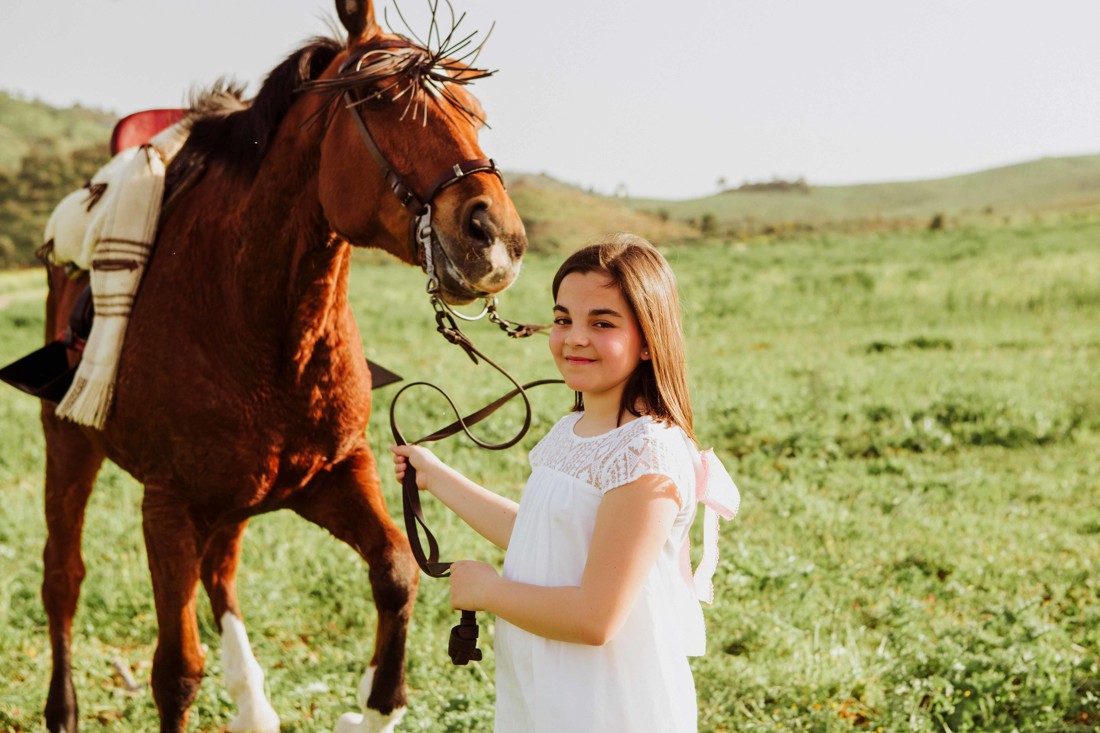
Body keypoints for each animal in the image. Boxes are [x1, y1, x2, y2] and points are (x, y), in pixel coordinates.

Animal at [35, 1, 526, 731]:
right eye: (379, 99)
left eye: (474, 109)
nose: (496, 239)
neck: (261, 326)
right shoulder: (167, 505)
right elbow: (176, 672)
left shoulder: (337, 473)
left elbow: (397, 572)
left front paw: (373, 706)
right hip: (69, 441)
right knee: (63, 577)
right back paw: (63, 707)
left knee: (220, 571)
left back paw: (253, 705)